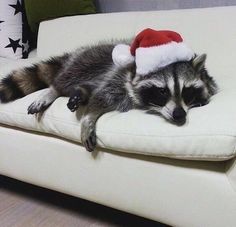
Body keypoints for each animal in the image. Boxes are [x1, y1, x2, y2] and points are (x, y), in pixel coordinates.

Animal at [0, 42, 218, 153]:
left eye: (187, 91)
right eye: (163, 91)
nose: (179, 115)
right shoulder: (118, 76)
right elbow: (102, 96)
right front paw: (89, 118)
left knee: (87, 85)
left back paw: (81, 92)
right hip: (90, 60)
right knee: (67, 78)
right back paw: (54, 90)